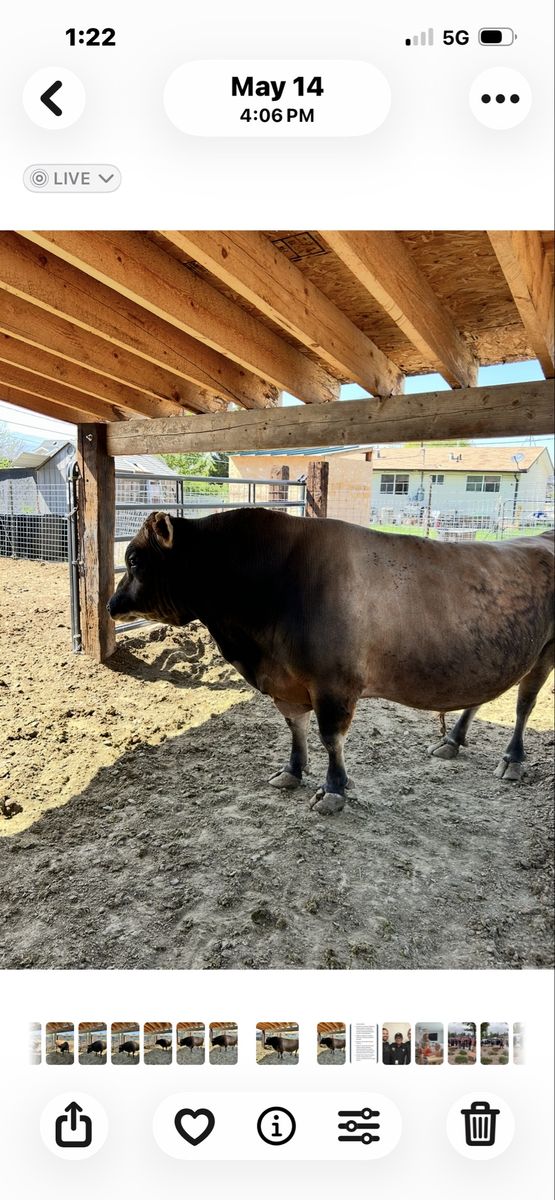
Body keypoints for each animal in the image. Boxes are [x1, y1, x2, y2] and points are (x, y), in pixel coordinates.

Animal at [108, 510, 554, 815]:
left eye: (133, 559)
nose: (111, 605)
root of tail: (544, 536)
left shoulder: (333, 685)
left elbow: (330, 738)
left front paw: (334, 789)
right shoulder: (288, 682)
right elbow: (296, 728)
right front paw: (292, 771)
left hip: (546, 651)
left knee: (524, 704)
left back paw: (513, 760)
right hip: (492, 656)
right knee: (482, 696)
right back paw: (452, 740)